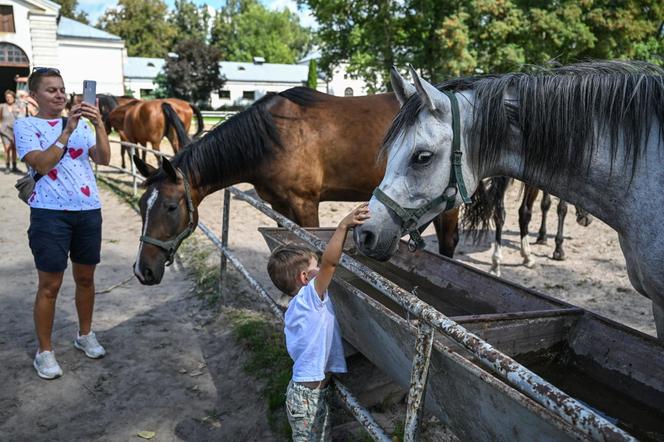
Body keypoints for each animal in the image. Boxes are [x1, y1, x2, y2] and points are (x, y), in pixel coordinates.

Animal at [130, 87, 462, 284]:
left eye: (171, 207)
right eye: (142, 205)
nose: (142, 270)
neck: (271, 138)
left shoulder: (305, 204)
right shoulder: (281, 206)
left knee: (448, 243)